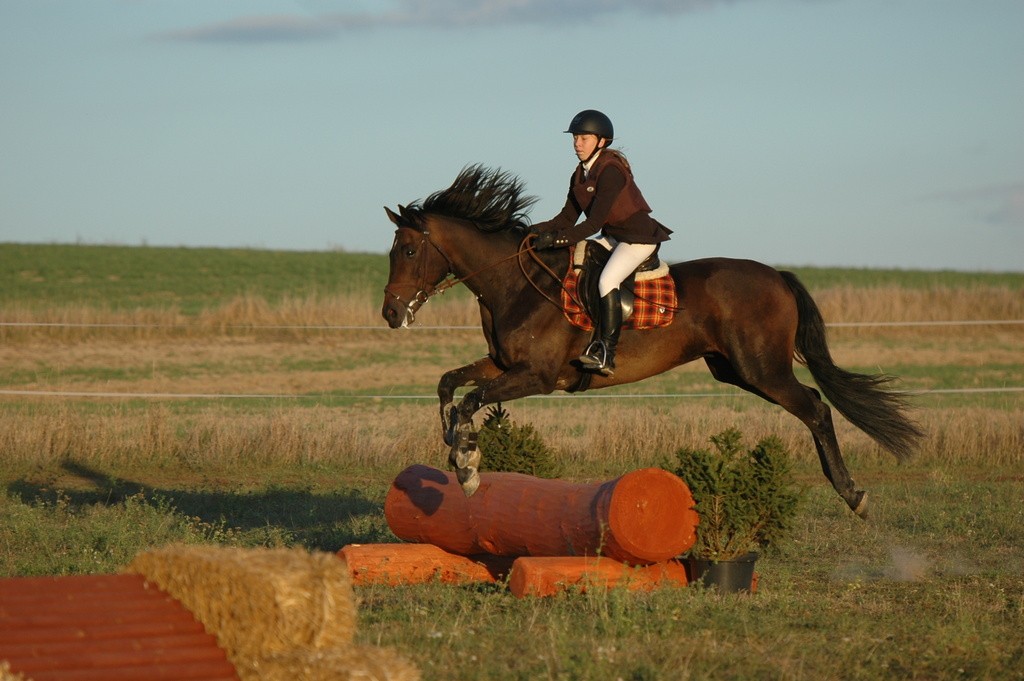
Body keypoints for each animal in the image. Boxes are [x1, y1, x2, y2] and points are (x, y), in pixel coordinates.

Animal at [381, 165, 922, 518]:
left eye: (407, 250)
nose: (390, 313)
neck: (512, 285)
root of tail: (778, 277)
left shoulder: (536, 376)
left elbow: (470, 399)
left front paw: (467, 465)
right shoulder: (502, 365)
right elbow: (449, 385)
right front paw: (455, 447)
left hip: (761, 368)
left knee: (815, 408)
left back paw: (852, 494)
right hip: (735, 370)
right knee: (812, 402)